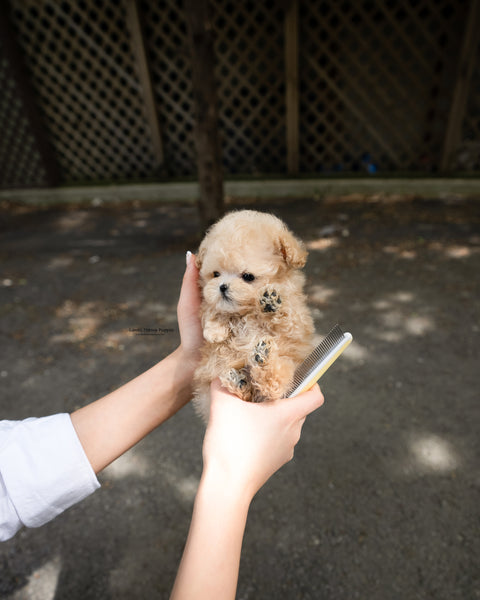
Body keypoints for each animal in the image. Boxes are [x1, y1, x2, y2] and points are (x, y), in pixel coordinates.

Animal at [192, 211, 316, 422]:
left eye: (248, 277)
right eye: (215, 274)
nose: (222, 287)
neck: (246, 313)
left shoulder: (297, 321)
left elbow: (288, 314)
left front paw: (272, 301)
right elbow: (211, 307)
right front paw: (215, 330)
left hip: (288, 365)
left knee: (273, 386)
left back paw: (263, 359)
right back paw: (239, 382)